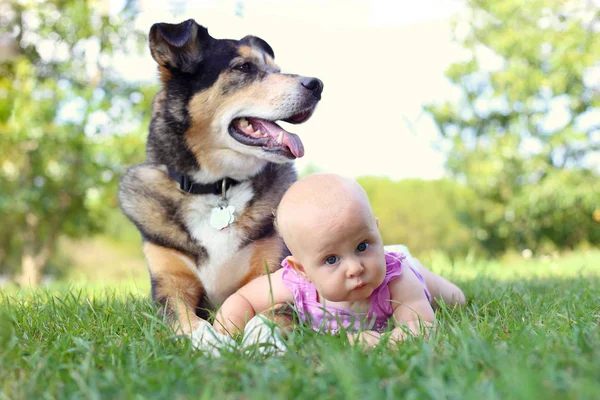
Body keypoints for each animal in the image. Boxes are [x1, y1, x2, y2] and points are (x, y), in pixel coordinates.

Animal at [118, 18, 324, 344]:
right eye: (243, 67)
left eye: (276, 69)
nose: (317, 85)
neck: (217, 189)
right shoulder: (170, 287)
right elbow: (188, 322)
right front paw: (212, 344)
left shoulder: (276, 273)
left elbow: (274, 312)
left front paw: (262, 342)